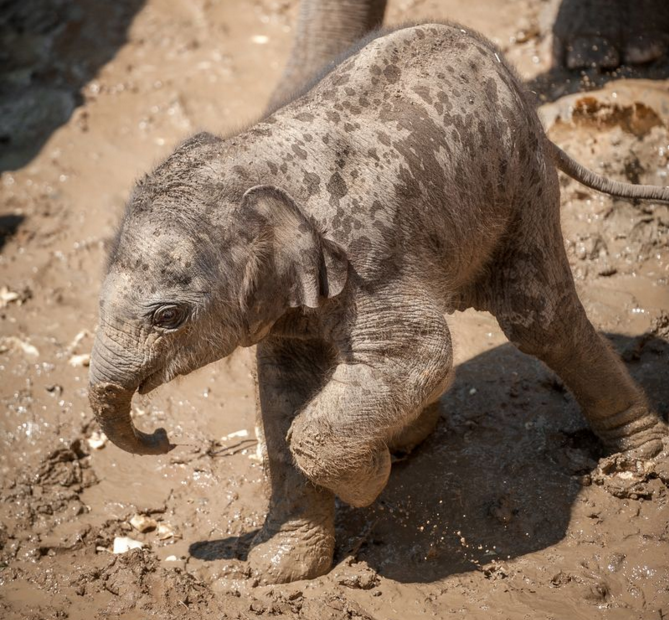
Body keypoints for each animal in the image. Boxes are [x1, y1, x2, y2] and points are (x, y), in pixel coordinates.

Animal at [88, 23, 668, 580]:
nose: (163, 437)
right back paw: (408, 435)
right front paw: (277, 568)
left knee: (539, 319)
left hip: (522, 183)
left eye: (169, 316)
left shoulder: (367, 256)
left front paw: (371, 482)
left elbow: (419, 353)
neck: (248, 159)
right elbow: (281, 387)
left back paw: (644, 460)